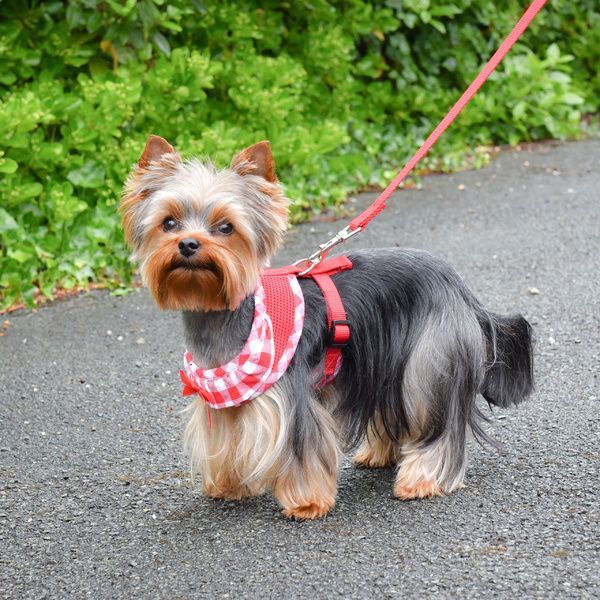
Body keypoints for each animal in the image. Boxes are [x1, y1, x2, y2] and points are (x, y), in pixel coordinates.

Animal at [120, 136, 536, 520]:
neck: (224, 314)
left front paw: (306, 503)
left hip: (431, 359)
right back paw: (380, 455)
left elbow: (303, 449)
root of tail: (462, 289)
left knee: (436, 422)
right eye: (169, 222)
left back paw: (421, 480)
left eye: (226, 227)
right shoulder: (223, 399)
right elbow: (226, 440)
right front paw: (227, 486)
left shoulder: (294, 397)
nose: (189, 244)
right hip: (389, 359)